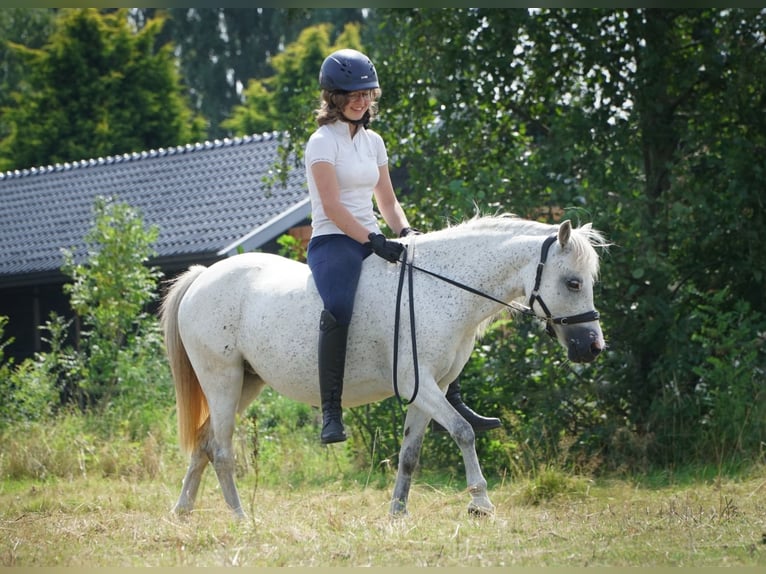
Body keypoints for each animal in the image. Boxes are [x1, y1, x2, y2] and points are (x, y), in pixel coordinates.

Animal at [160, 217, 608, 520]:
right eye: (572, 283)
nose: (593, 347)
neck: (438, 286)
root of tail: (203, 275)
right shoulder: (420, 384)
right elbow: (463, 432)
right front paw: (480, 502)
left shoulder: (429, 389)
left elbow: (410, 453)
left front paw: (397, 511)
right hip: (222, 379)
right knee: (221, 450)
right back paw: (239, 517)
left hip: (246, 383)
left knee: (203, 443)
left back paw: (183, 512)